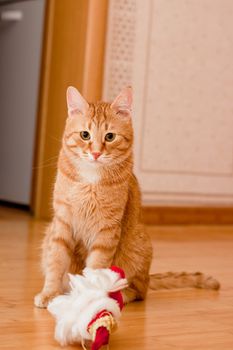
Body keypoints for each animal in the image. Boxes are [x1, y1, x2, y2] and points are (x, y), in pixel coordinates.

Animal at [34, 87, 220, 308]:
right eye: (85, 135)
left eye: (110, 136)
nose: (96, 153)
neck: (90, 180)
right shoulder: (62, 224)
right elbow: (56, 262)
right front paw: (50, 293)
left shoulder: (106, 231)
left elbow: (95, 267)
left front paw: (91, 298)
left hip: (136, 247)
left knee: (139, 291)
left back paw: (117, 295)